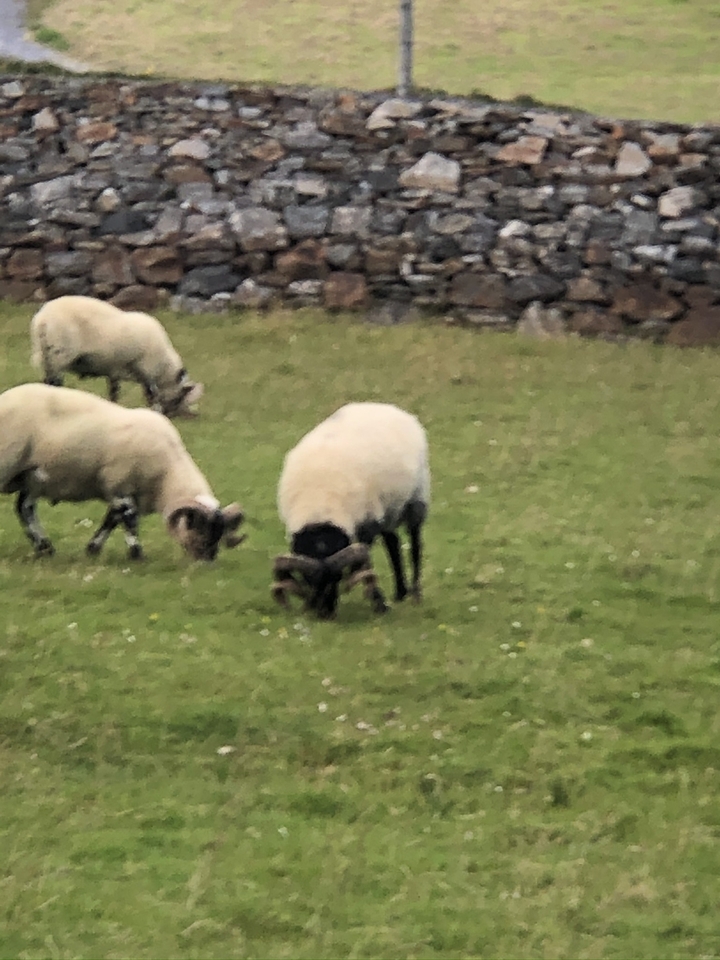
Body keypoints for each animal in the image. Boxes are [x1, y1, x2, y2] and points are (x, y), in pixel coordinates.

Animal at [0, 383, 244, 561]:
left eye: (220, 531)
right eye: (200, 527)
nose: (208, 560)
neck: (167, 473)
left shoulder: (122, 491)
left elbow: (111, 520)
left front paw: (93, 549)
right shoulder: (121, 485)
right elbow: (129, 522)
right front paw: (137, 555)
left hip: (32, 477)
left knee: (24, 508)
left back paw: (45, 548)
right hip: (8, 464)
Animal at [30, 295, 203, 418]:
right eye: (180, 397)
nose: (176, 416)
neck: (163, 366)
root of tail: (42, 320)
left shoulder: (115, 369)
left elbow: (115, 391)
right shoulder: (146, 368)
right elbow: (150, 393)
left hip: (46, 356)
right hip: (59, 355)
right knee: (55, 382)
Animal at [273, 402, 430, 619]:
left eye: (338, 576)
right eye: (306, 578)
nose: (324, 613)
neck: (320, 506)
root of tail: (384, 406)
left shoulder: (367, 523)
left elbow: (365, 565)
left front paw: (379, 604)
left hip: (417, 498)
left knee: (415, 544)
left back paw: (415, 594)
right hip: (387, 509)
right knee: (393, 542)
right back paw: (400, 593)